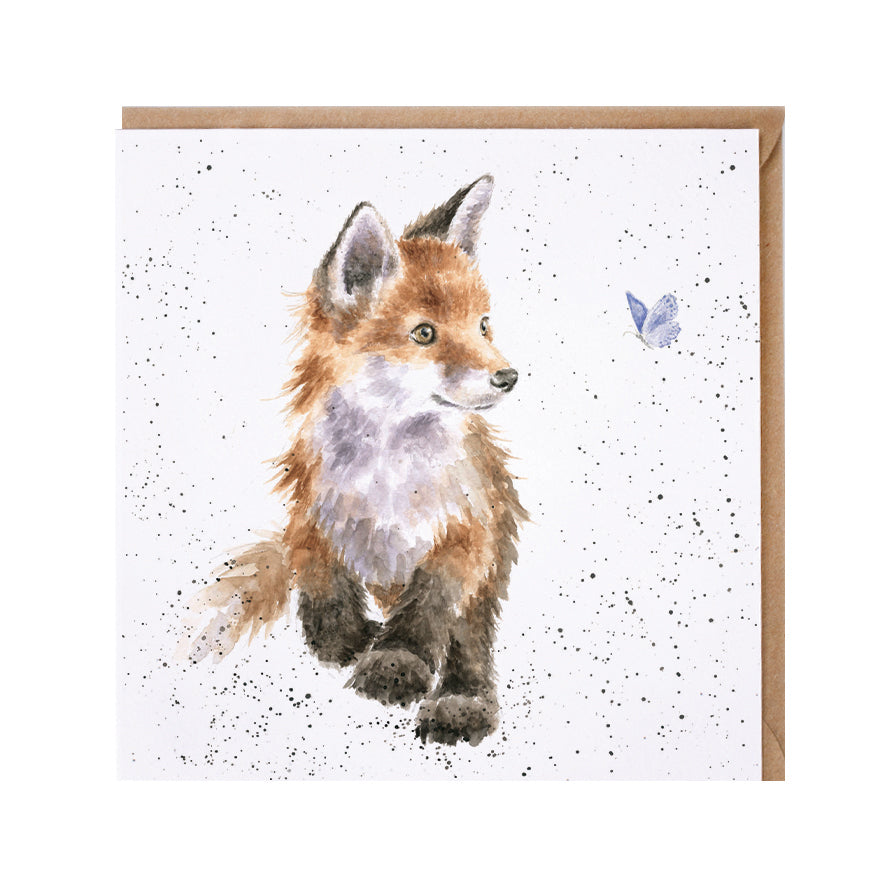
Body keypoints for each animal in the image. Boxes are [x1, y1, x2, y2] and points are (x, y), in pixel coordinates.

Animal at [180, 175, 527, 746]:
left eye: (483, 326)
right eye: (424, 333)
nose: (508, 377)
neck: (388, 475)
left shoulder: (468, 529)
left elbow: (432, 606)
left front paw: (397, 661)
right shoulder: (312, 512)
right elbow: (322, 583)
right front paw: (346, 641)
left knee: (470, 637)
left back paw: (462, 698)